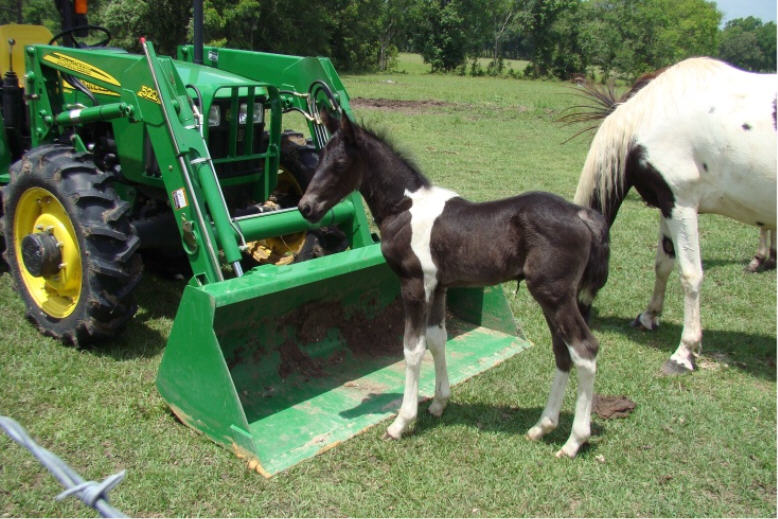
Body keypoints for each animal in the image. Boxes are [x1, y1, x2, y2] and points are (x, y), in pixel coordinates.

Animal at [298, 115, 608, 460]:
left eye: (339, 163)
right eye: (318, 158)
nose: (305, 207)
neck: (405, 207)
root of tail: (582, 215)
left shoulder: (414, 283)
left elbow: (413, 348)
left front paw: (401, 422)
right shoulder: (439, 286)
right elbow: (437, 339)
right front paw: (438, 403)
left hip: (554, 296)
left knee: (585, 350)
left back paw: (573, 441)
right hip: (554, 299)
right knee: (562, 351)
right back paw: (542, 427)